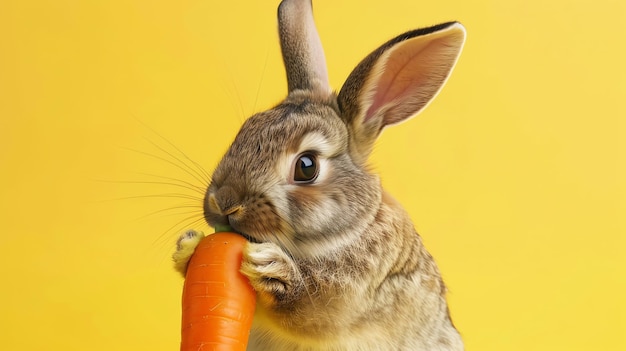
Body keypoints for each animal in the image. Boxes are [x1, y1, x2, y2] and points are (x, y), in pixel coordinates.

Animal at [171, 0, 464, 350]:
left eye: (306, 166)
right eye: (244, 131)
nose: (225, 202)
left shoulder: (347, 294)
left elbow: (308, 308)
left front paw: (269, 267)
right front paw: (188, 248)